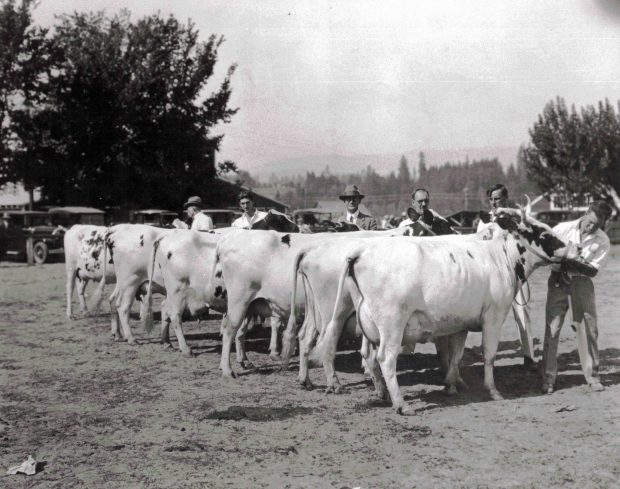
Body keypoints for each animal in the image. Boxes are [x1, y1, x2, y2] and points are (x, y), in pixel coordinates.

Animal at [312, 208, 580, 414]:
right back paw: (401, 404)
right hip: (391, 323)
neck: (498, 257)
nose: (573, 248)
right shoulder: (493, 317)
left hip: (362, 322)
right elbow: (489, 354)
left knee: (365, 355)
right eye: (543, 233)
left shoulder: (461, 323)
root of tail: (361, 251)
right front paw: (493, 391)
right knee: (385, 359)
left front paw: (451, 385)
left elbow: (456, 355)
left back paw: (382, 394)